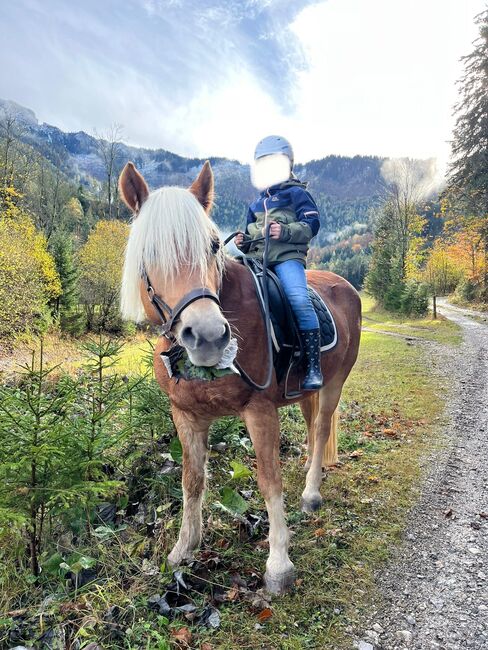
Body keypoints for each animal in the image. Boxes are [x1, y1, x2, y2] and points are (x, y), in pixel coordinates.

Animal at [119, 158, 360, 592]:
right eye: (149, 253)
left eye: (213, 245)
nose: (209, 337)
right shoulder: (186, 416)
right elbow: (192, 480)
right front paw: (184, 549)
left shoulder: (260, 411)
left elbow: (268, 481)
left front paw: (279, 563)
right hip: (306, 391)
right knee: (313, 424)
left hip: (335, 383)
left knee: (320, 430)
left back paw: (311, 492)